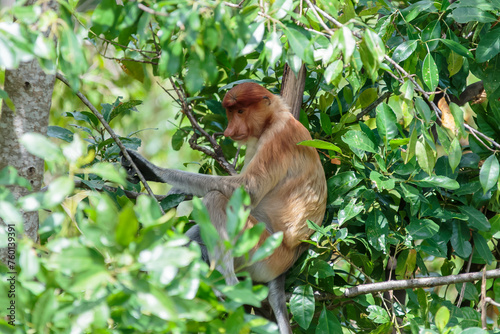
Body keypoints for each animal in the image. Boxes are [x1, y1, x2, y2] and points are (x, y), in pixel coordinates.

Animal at [121, 82, 328, 332]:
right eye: (231, 112)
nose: (229, 131)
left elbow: (245, 188)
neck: (274, 117)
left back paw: (228, 288)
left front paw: (151, 169)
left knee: (216, 199)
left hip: (263, 250)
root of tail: (287, 264)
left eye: (240, 111)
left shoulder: (278, 138)